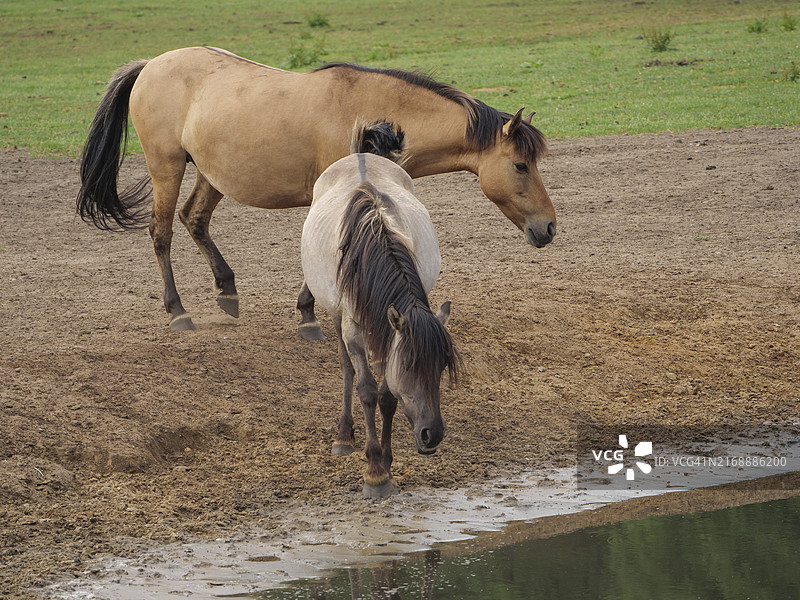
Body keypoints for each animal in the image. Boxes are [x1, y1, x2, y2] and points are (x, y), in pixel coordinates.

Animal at [76, 46, 555, 334]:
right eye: (520, 165)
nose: (548, 227)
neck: (371, 111)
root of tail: (151, 64)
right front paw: (308, 314)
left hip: (210, 175)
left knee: (194, 219)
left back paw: (227, 289)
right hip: (167, 168)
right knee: (161, 232)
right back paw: (178, 311)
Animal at [302, 122, 460, 498]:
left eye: (442, 366)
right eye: (411, 366)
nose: (432, 434)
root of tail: (361, 154)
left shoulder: (391, 333)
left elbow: (388, 395)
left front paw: (386, 463)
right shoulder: (355, 329)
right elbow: (368, 391)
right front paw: (374, 471)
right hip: (336, 317)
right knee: (347, 368)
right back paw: (344, 435)